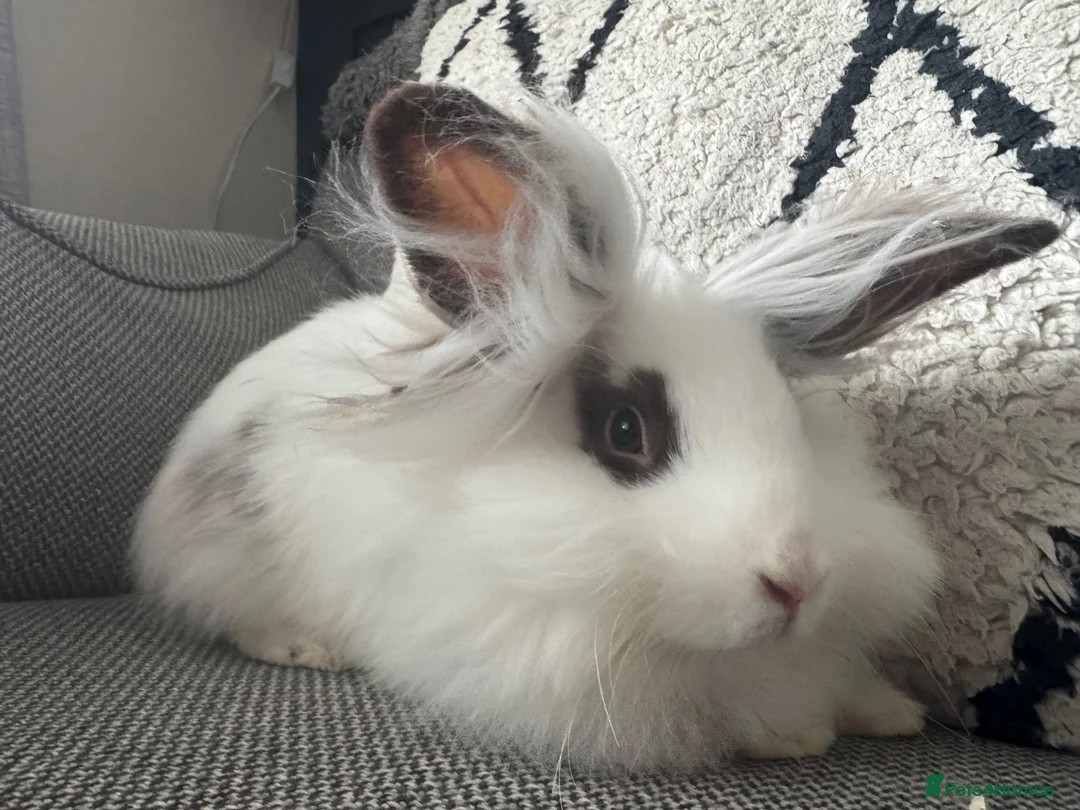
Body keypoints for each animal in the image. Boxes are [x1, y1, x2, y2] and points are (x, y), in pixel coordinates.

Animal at [132, 81, 1061, 772]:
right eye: (624, 431)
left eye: (792, 418)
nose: (795, 581)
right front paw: (794, 736)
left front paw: (881, 715)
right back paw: (309, 647)